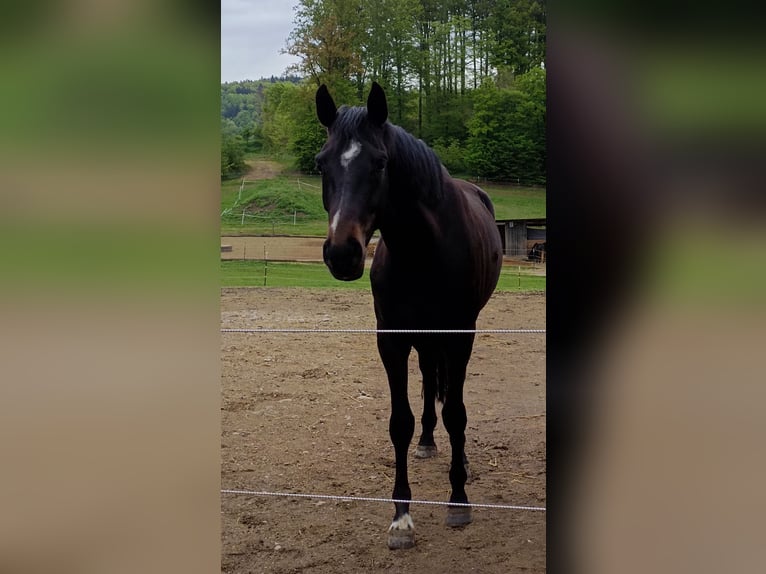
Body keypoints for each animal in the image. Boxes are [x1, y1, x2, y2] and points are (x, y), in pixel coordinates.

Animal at [316, 83, 504, 552]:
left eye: (380, 163)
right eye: (321, 163)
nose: (342, 254)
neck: (422, 249)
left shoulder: (459, 336)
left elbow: (457, 412)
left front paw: (458, 500)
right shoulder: (393, 339)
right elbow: (399, 422)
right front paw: (401, 517)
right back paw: (427, 441)